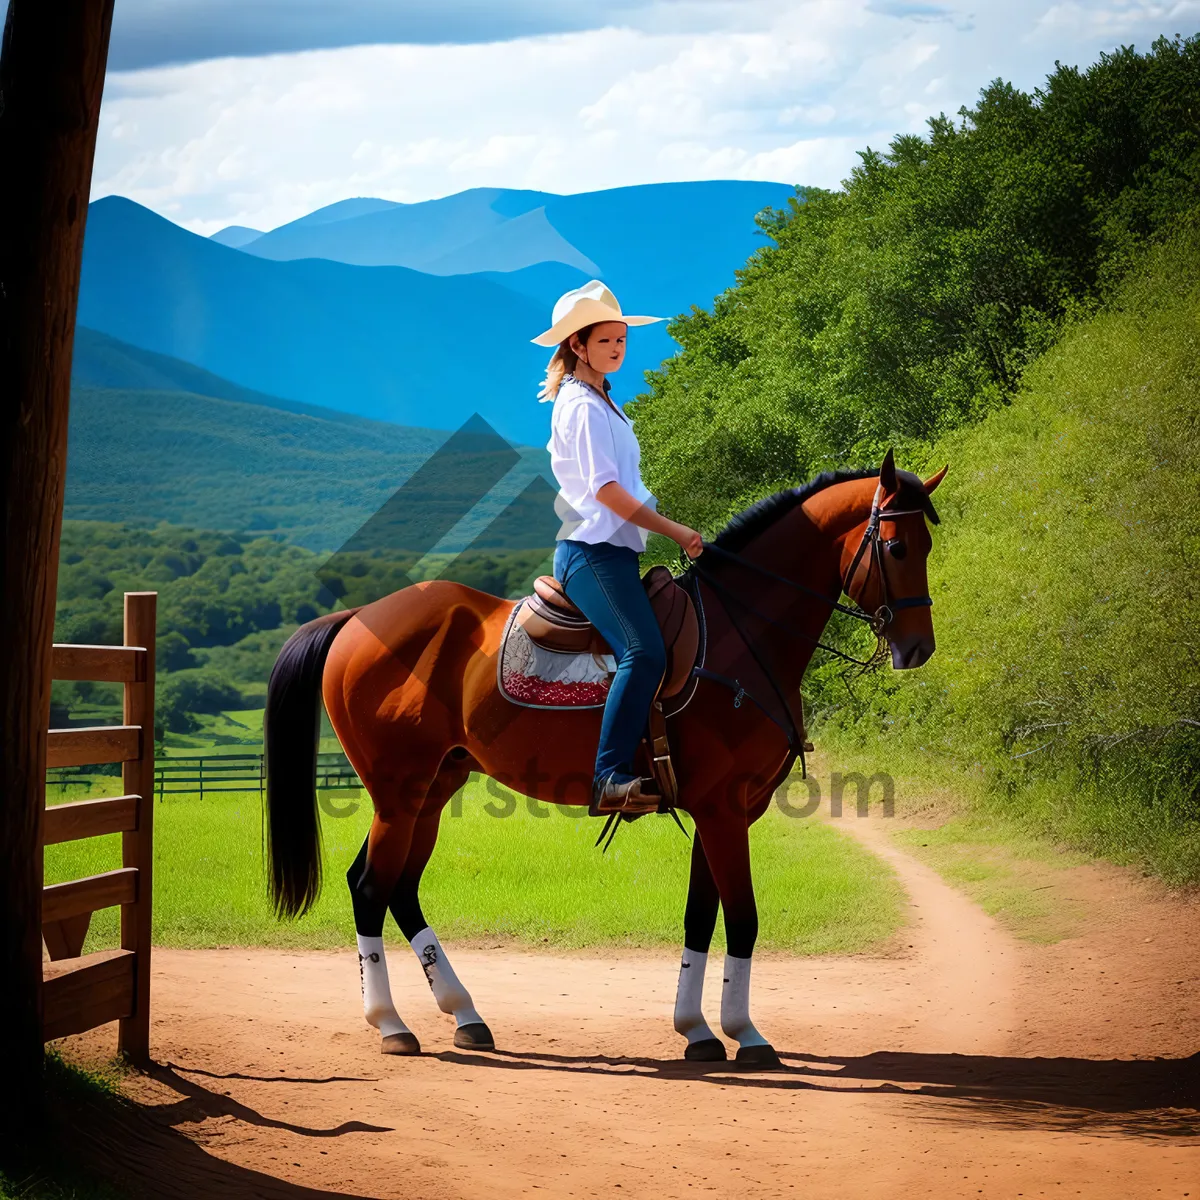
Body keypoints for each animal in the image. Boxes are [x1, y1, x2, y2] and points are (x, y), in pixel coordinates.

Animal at [262, 448, 945, 1060]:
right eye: (897, 548)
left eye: (927, 547)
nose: (918, 648)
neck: (736, 636)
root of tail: (359, 617)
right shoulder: (724, 811)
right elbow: (743, 917)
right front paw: (746, 1035)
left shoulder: (723, 814)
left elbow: (701, 916)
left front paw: (697, 1031)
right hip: (399, 793)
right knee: (371, 888)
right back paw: (391, 1025)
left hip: (433, 789)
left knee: (398, 888)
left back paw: (465, 1016)